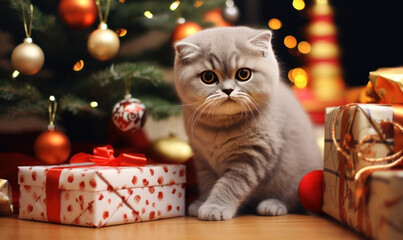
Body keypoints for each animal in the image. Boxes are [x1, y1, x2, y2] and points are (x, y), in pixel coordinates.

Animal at [173, 26, 322, 221]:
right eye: (208, 77)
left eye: (243, 74)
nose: (228, 90)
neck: (220, 127)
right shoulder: (202, 159)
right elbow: (207, 183)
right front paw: (202, 202)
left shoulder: (251, 157)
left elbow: (230, 185)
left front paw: (215, 207)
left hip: (293, 181)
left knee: (293, 201)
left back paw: (272, 205)